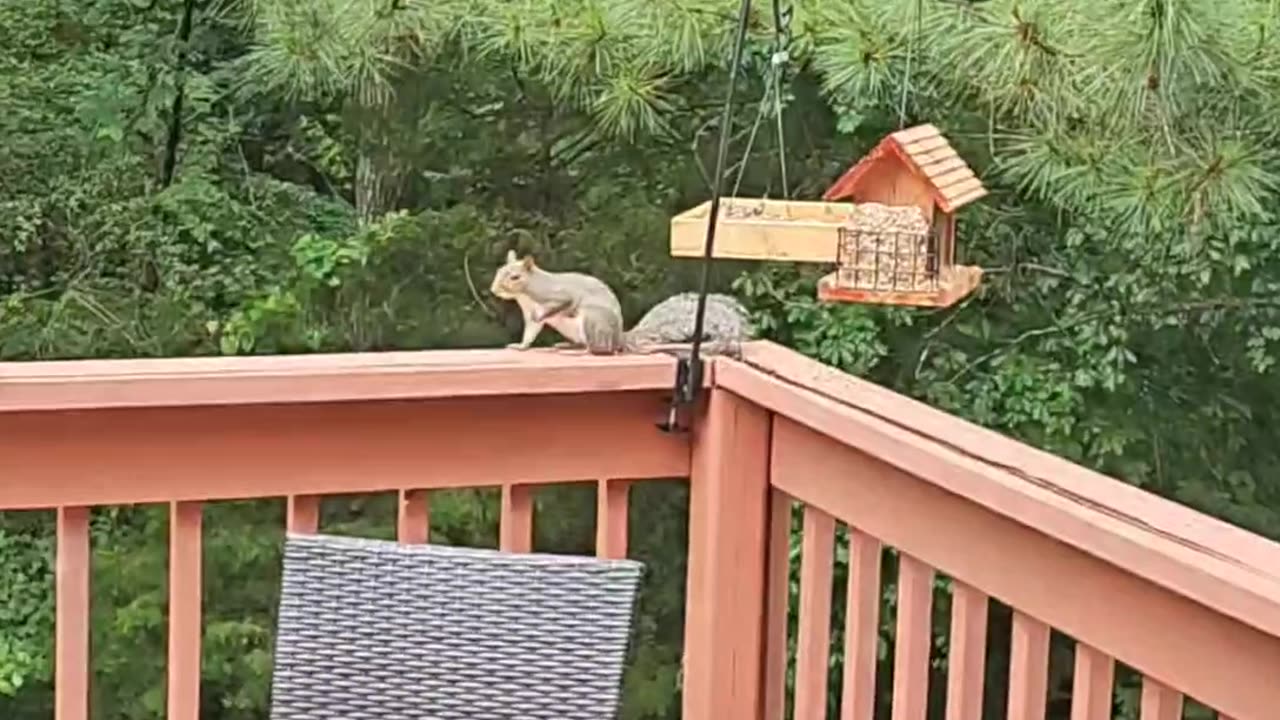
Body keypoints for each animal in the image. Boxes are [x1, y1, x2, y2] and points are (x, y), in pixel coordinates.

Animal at [486, 249, 747, 356]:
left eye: (515, 277)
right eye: (498, 271)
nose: (494, 289)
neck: (527, 294)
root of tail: (620, 337)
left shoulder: (557, 295)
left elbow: (560, 305)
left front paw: (545, 314)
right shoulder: (529, 314)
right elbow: (530, 332)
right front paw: (520, 346)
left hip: (593, 319)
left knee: (601, 350)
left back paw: (582, 351)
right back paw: (568, 345)